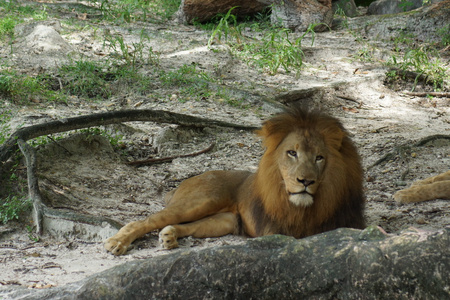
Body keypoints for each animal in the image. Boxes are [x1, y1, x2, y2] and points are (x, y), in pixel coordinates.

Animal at [104, 106, 366, 254]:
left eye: (319, 158)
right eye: (292, 153)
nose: (305, 181)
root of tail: (193, 176)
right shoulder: (276, 232)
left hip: (225, 221)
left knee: (187, 225)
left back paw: (169, 236)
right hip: (200, 201)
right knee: (142, 221)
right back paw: (117, 243)